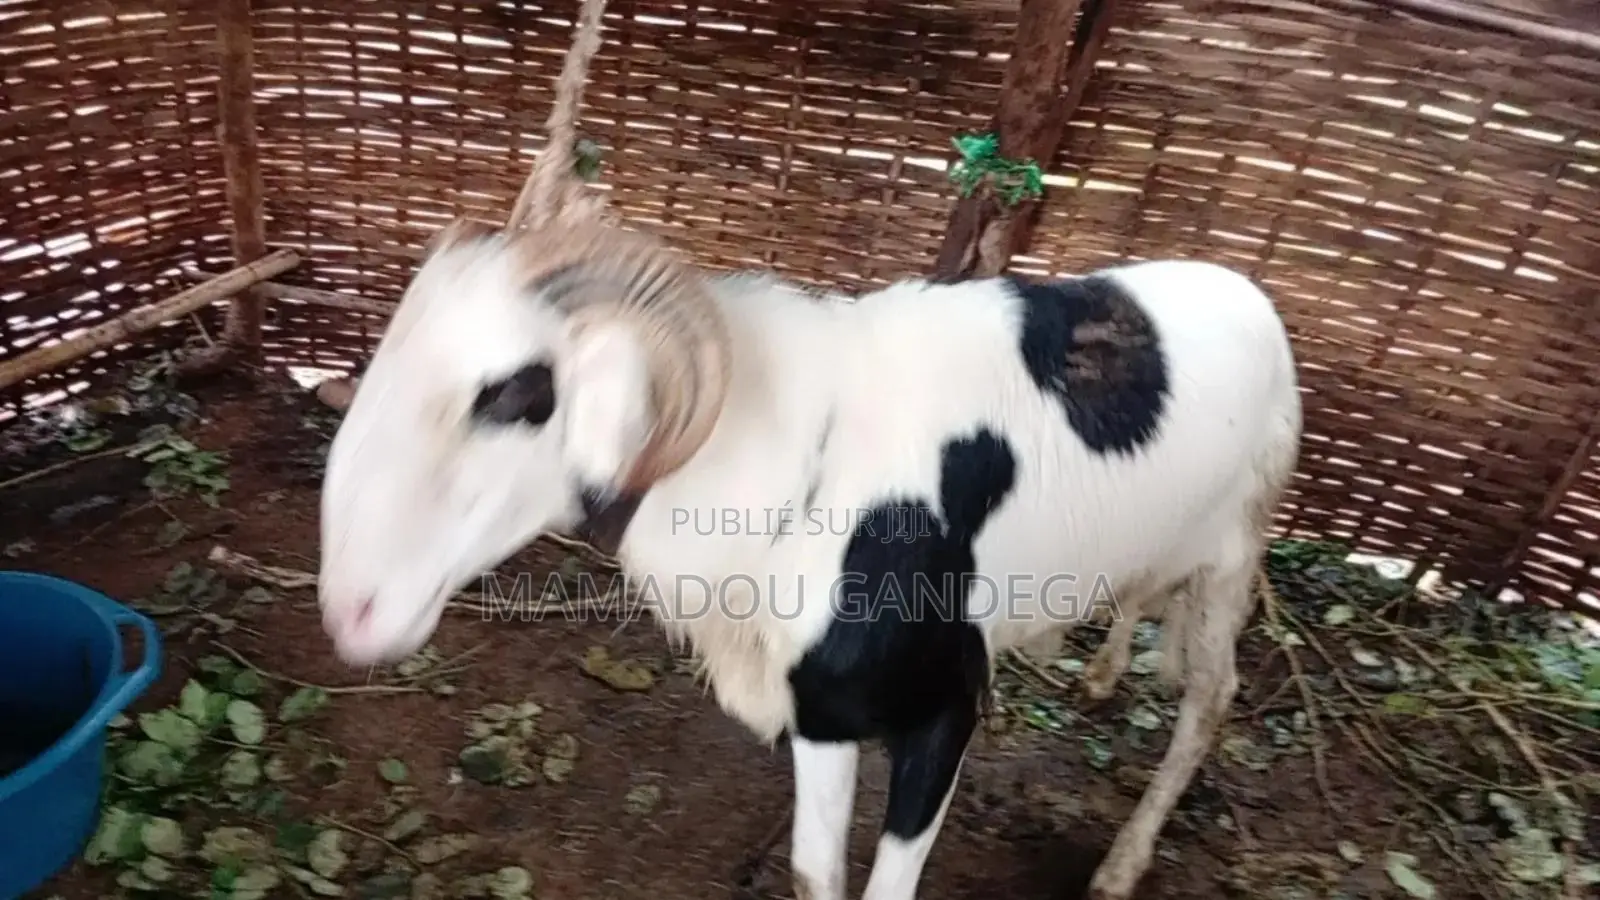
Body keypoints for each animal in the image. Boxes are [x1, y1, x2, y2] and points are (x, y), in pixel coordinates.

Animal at [316, 216, 1303, 900]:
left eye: (514, 392)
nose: (352, 613)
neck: (796, 464)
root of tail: (1244, 287)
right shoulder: (823, 711)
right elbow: (812, 874)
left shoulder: (945, 704)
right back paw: (1098, 672)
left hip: (1236, 551)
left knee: (1210, 702)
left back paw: (1121, 865)